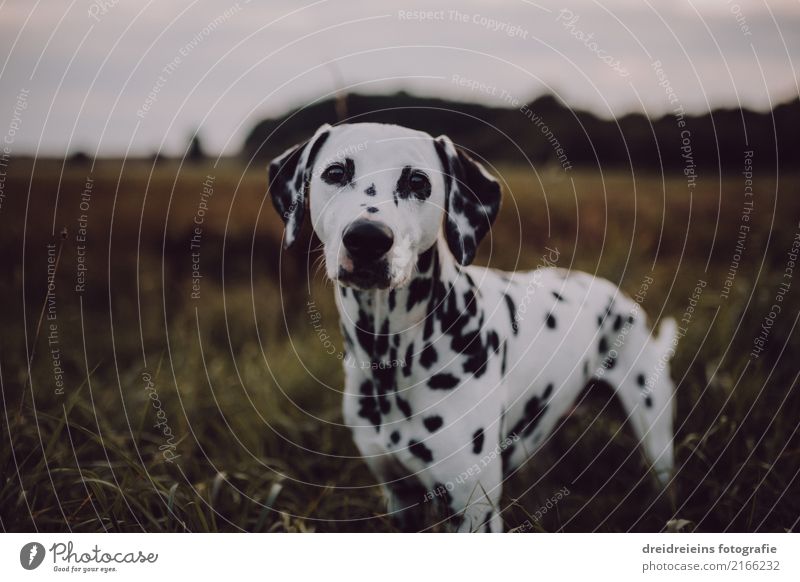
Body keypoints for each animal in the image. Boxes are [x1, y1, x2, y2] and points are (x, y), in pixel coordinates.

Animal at [268, 123, 676, 532]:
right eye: (336, 172)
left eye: (417, 181)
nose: (368, 237)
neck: (391, 360)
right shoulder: (399, 499)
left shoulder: (474, 510)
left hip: (655, 432)